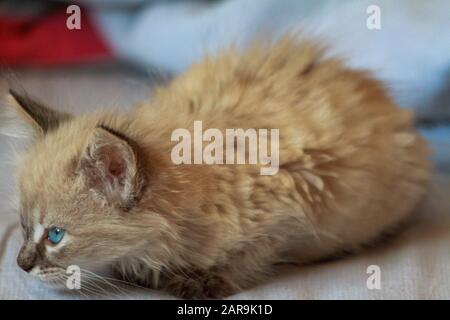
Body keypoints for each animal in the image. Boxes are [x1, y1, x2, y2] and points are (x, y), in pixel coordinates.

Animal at [0, 38, 428, 298]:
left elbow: (250, 257)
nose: (21, 265)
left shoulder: (292, 208)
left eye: (55, 235)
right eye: (22, 226)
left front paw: (198, 282)